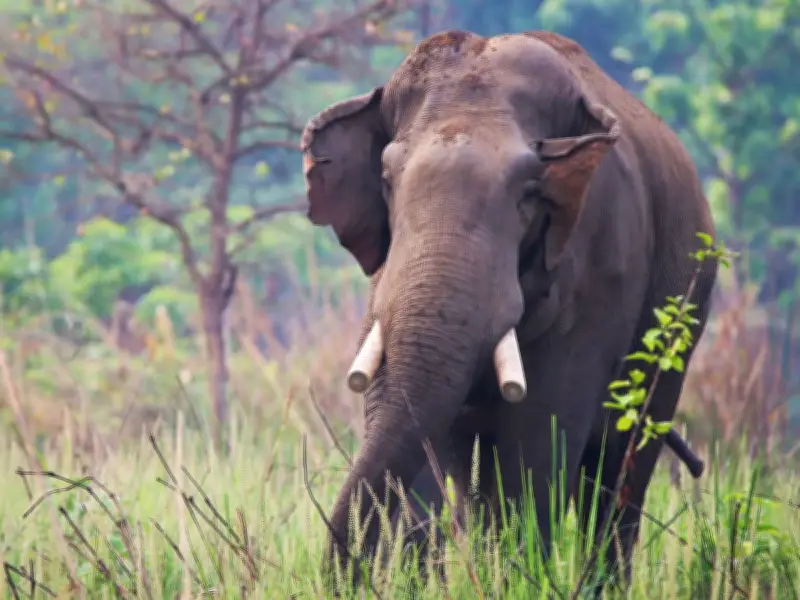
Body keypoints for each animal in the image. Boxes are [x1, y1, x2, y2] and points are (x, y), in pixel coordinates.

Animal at [301, 29, 718, 591]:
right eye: (386, 178)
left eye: (529, 192)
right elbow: (434, 437)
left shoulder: (603, 260)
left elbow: (541, 431)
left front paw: (517, 580)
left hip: (680, 321)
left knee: (620, 469)